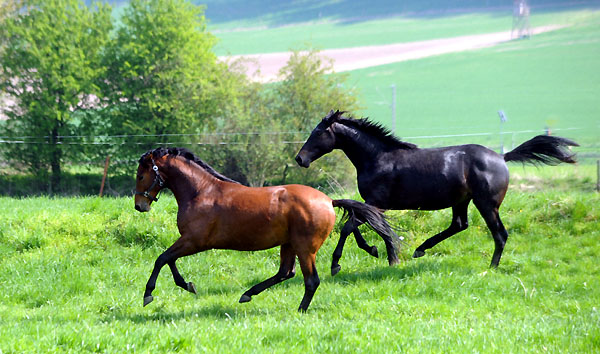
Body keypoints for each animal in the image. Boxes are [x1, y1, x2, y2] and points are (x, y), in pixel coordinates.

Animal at [134, 147, 400, 312]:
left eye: (141, 175)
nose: (139, 205)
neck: (201, 191)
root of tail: (329, 201)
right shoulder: (190, 241)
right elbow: (169, 260)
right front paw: (187, 285)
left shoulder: (194, 241)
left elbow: (162, 258)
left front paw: (149, 294)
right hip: (289, 244)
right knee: (285, 272)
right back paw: (248, 294)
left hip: (305, 248)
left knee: (310, 280)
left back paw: (300, 310)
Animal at [296, 110, 576, 274]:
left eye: (318, 132)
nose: (300, 159)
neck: (377, 158)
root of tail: (502, 157)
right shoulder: (375, 205)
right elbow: (379, 230)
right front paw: (389, 258)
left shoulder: (375, 202)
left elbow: (349, 227)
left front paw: (338, 263)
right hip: (462, 201)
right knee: (460, 225)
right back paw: (421, 249)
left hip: (486, 203)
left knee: (500, 234)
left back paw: (491, 268)